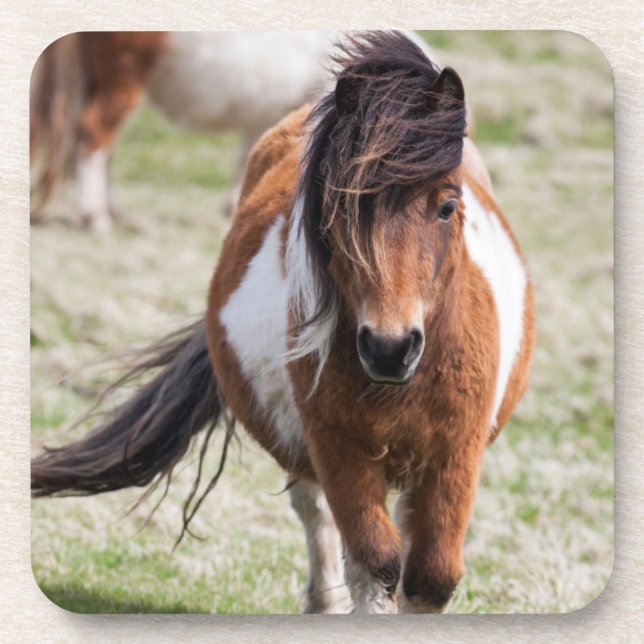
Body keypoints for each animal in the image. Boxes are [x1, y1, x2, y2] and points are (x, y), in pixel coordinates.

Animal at [32, 31, 535, 613]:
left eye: (448, 206)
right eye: (341, 209)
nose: (389, 348)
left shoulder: (455, 457)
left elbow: (431, 577)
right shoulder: (338, 451)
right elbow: (374, 563)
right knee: (315, 514)